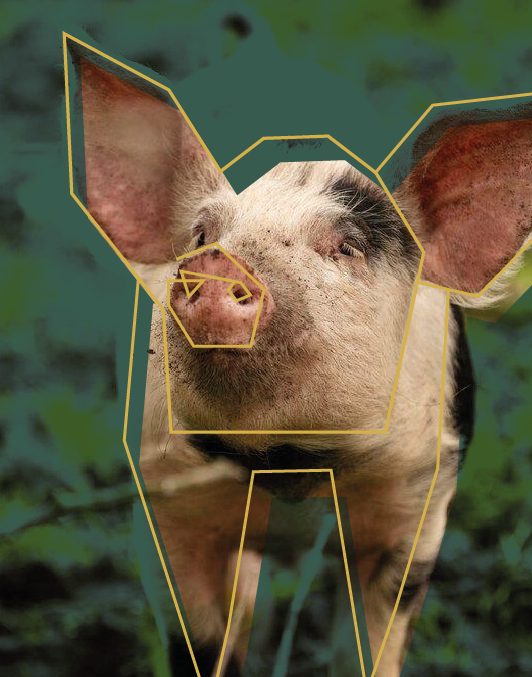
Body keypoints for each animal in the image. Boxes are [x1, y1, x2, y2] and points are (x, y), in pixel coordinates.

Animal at [75, 54, 532, 676]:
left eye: (347, 246)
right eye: (201, 234)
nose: (216, 262)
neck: (289, 466)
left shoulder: (417, 498)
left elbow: (371, 643)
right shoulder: (166, 491)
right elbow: (200, 639)